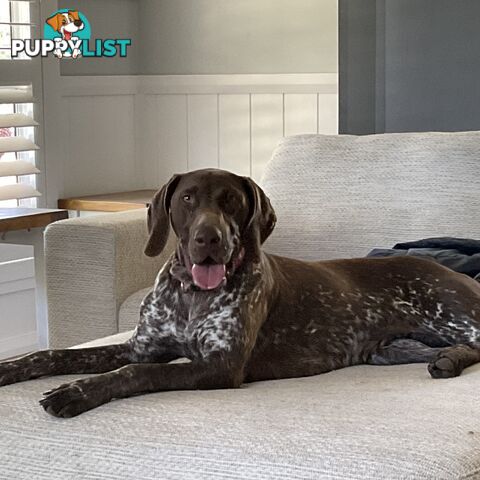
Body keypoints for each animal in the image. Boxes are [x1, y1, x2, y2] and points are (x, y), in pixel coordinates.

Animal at [0, 171, 480, 418]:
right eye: (187, 199)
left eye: (232, 200)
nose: (209, 239)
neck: (192, 296)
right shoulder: (142, 346)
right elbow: (54, 353)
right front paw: (12, 367)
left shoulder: (220, 365)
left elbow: (134, 374)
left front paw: (77, 392)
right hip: (389, 350)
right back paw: (445, 359)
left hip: (453, 317)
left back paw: (452, 359)